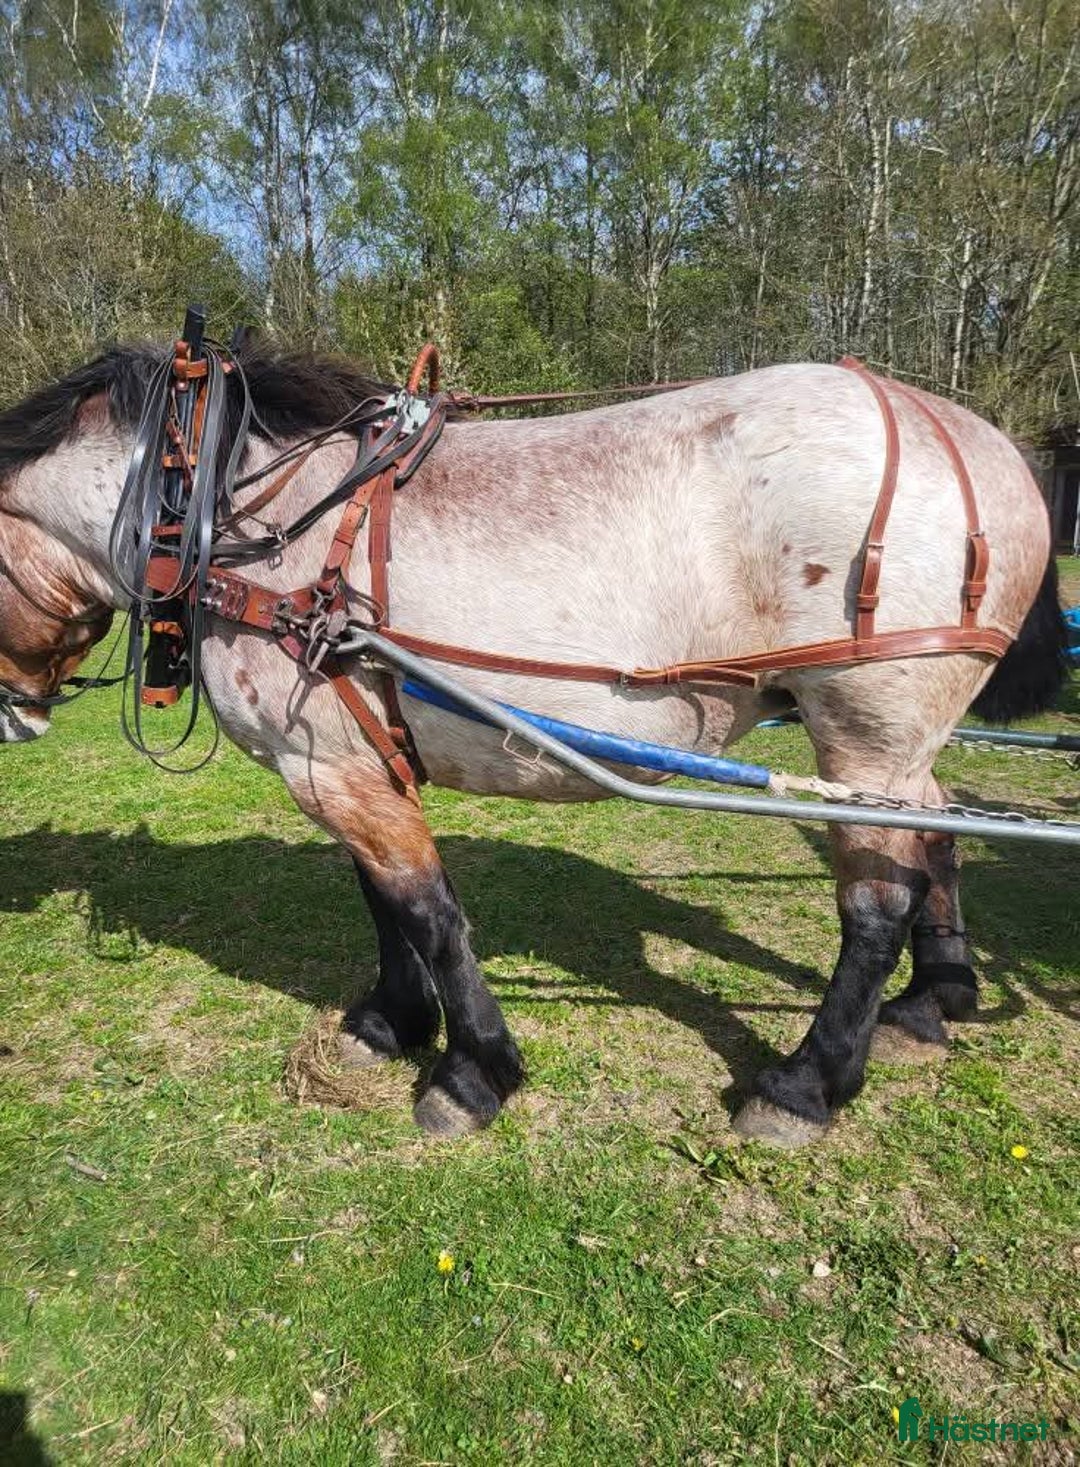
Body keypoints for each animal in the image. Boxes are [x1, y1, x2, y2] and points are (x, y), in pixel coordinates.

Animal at [0, 342, 1067, 1147]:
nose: (12, 715)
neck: (244, 527)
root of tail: (967, 435)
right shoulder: (353, 764)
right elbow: (383, 904)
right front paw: (390, 1022)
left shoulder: (327, 767)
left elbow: (429, 915)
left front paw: (472, 1070)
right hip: (899, 751)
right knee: (938, 842)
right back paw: (932, 1003)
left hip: (865, 739)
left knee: (878, 905)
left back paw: (807, 1083)